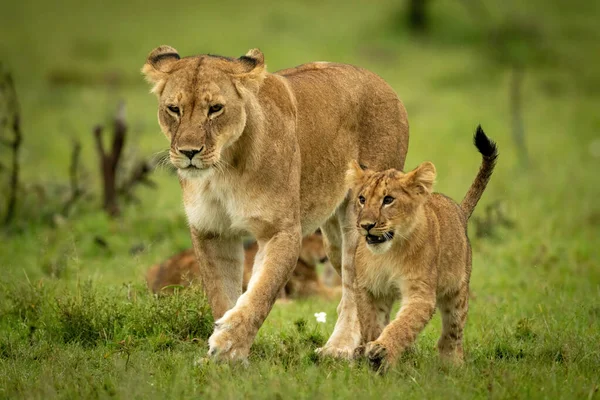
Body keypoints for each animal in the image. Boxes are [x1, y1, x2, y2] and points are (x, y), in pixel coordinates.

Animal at [143, 45, 410, 360]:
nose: (189, 152)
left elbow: (261, 292)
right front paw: (220, 354)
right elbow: (223, 295)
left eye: (215, 109)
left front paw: (229, 346)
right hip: (333, 240)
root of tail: (381, 81)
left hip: (362, 225)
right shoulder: (212, 232)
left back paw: (339, 349)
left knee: (353, 290)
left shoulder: (281, 231)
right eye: (173, 109)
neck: (223, 170)